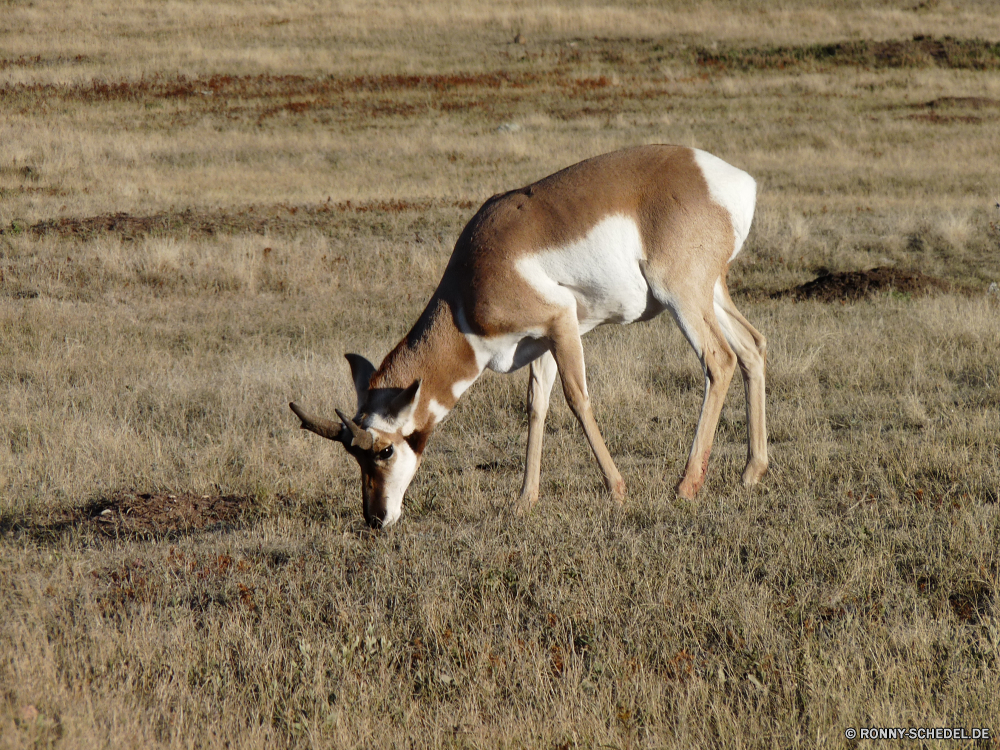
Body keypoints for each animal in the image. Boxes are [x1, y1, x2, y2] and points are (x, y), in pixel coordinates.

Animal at [288, 145, 764, 528]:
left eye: (383, 451)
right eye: (354, 455)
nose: (375, 518)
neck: (470, 284)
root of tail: (724, 177)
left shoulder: (562, 324)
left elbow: (577, 399)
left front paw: (616, 489)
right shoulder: (541, 343)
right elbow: (536, 406)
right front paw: (524, 501)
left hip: (681, 296)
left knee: (719, 360)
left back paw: (686, 486)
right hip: (711, 293)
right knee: (752, 347)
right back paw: (751, 472)